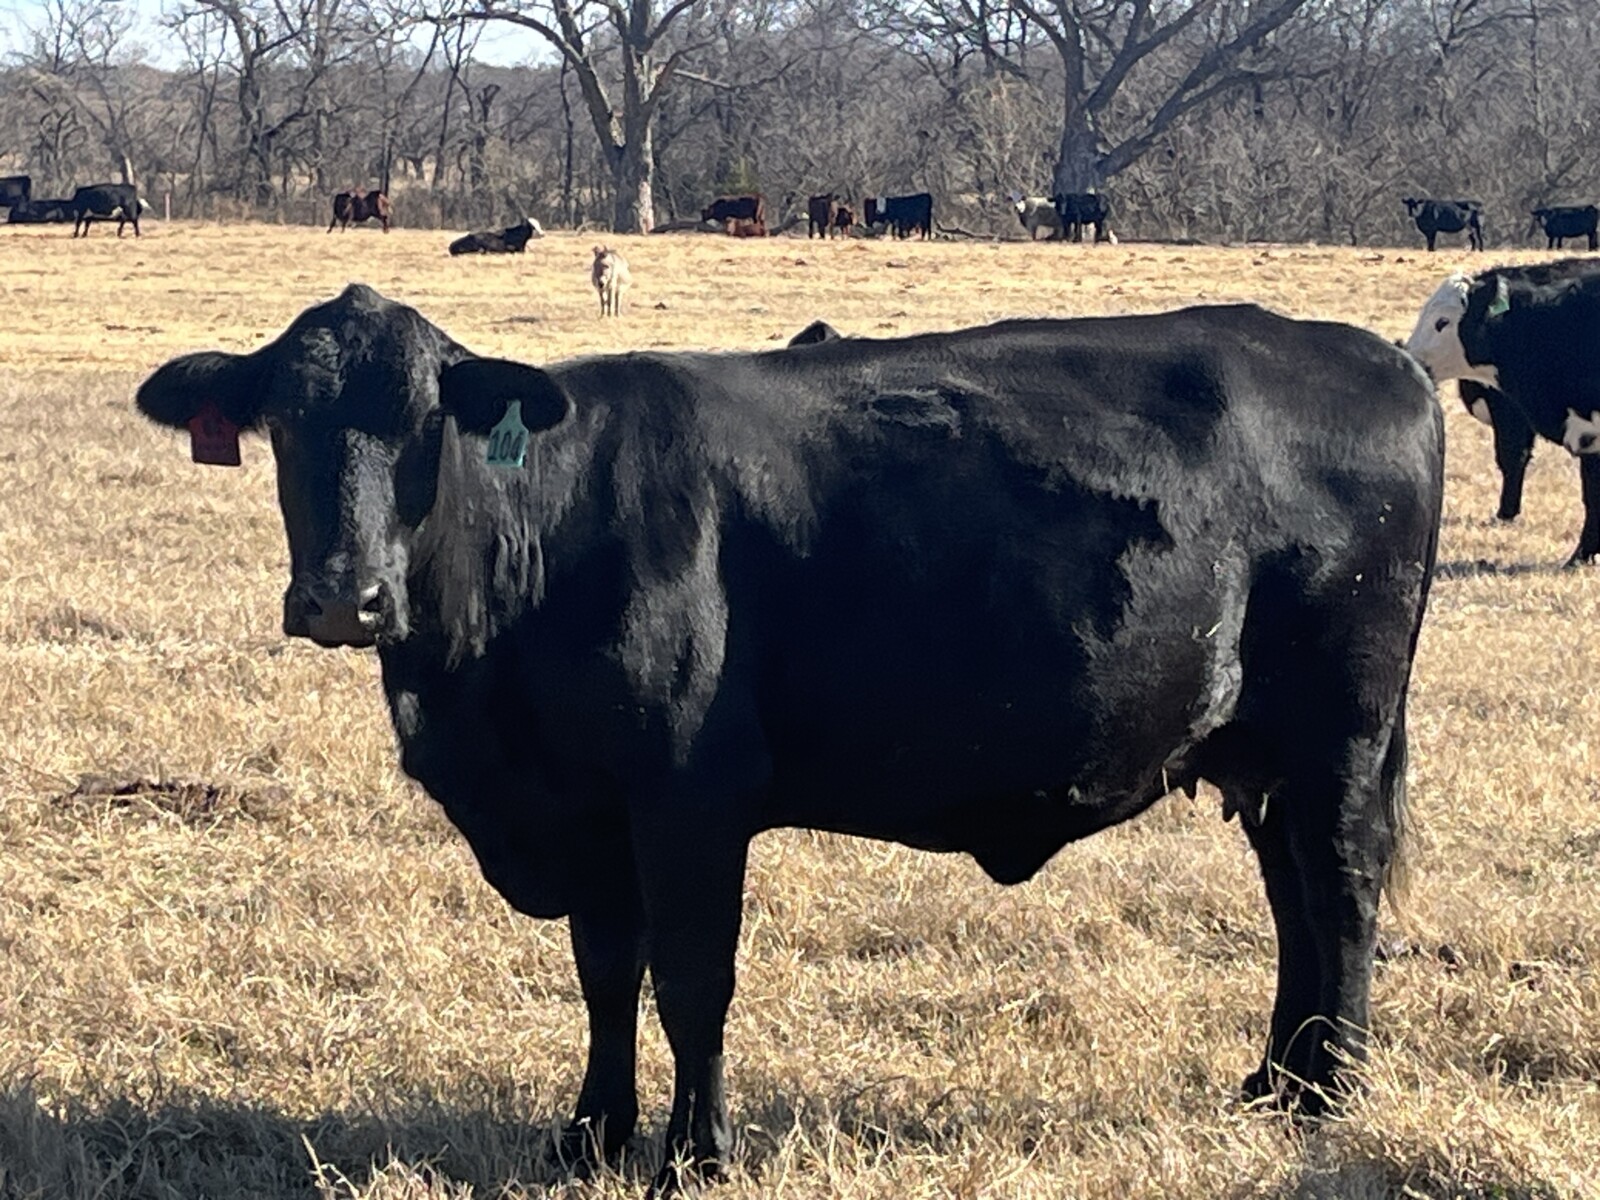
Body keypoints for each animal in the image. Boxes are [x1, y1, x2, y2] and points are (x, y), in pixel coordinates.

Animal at [136, 283, 1441, 1195]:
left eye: (423, 428)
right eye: (280, 424)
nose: (343, 599)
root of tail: (1376, 358)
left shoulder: (688, 798)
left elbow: (690, 980)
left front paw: (693, 1155)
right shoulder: (591, 808)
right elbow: (605, 975)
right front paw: (589, 1137)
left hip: (1342, 732)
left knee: (1341, 887)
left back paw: (1332, 1093)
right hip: (1262, 754)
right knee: (1291, 899)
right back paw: (1272, 1082)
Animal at [1407, 256, 1600, 563]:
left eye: (1442, 322)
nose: (1408, 355)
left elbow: (1512, 458)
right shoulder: (1586, 433)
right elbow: (1591, 495)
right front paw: (1582, 556)